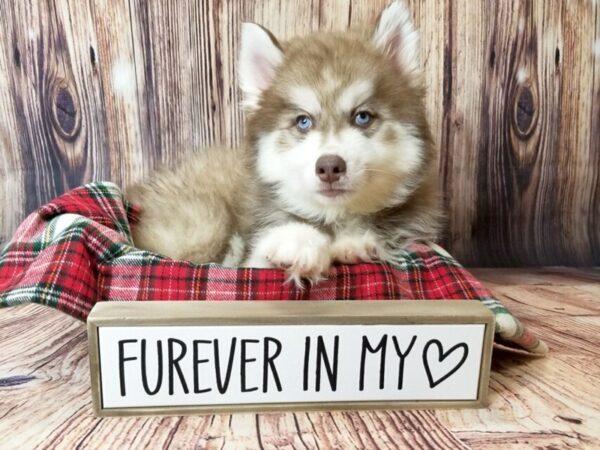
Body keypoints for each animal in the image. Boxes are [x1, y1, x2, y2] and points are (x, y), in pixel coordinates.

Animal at [126, 1, 442, 284]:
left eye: (362, 117)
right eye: (303, 121)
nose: (329, 167)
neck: (333, 219)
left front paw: (357, 244)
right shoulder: (248, 256)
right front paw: (299, 242)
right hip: (204, 219)